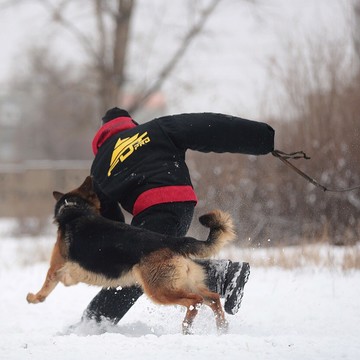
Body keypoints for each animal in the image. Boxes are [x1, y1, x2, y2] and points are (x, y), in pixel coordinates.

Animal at [27, 176, 236, 334]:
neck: (75, 209)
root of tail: (171, 241)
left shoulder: (55, 268)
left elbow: (45, 289)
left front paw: (33, 298)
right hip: (184, 283)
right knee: (213, 298)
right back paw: (221, 328)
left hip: (160, 291)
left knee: (195, 301)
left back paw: (186, 327)